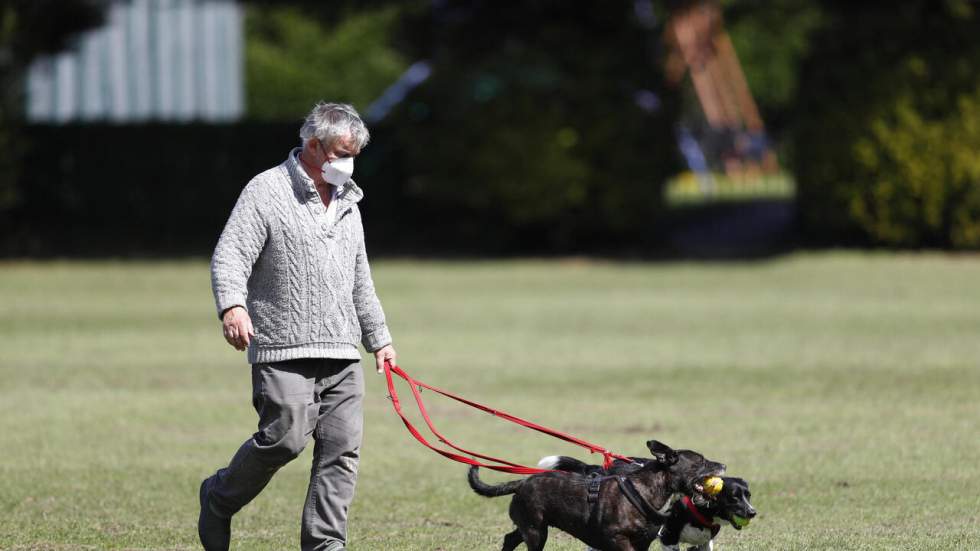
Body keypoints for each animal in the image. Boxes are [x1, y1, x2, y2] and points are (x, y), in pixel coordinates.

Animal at [464, 440, 724, 551]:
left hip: (529, 525)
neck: (647, 489)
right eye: (701, 461)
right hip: (536, 531)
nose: (723, 465)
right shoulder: (618, 540)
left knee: (510, 538)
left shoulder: (643, 543)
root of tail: (522, 482)